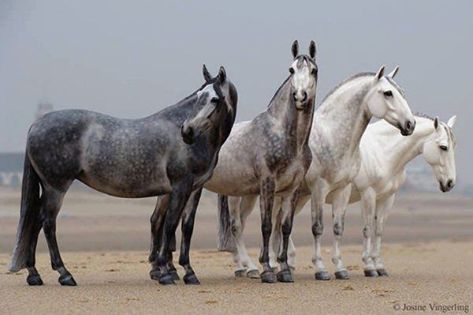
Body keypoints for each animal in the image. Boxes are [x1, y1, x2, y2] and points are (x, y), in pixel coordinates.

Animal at [7, 65, 236, 288]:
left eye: (214, 99)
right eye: (198, 96)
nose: (187, 131)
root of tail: (36, 125)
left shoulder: (194, 188)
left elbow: (186, 227)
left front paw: (188, 272)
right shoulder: (180, 187)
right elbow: (170, 225)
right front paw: (165, 273)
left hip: (49, 188)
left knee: (35, 222)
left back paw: (34, 274)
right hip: (56, 187)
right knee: (47, 223)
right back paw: (64, 274)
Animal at [151, 40, 318, 286]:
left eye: (313, 70)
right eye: (291, 70)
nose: (300, 96)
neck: (286, 136)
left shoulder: (292, 189)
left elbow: (285, 228)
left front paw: (285, 270)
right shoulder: (267, 184)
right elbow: (267, 226)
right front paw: (268, 270)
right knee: (159, 222)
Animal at [216, 65, 414, 280]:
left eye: (402, 92)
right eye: (388, 93)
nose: (410, 124)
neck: (332, 135)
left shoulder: (342, 190)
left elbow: (337, 228)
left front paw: (340, 268)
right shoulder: (319, 189)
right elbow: (317, 228)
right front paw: (320, 268)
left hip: (260, 195)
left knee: (256, 226)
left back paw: (257, 267)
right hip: (238, 196)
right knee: (237, 227)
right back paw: (248, 267)